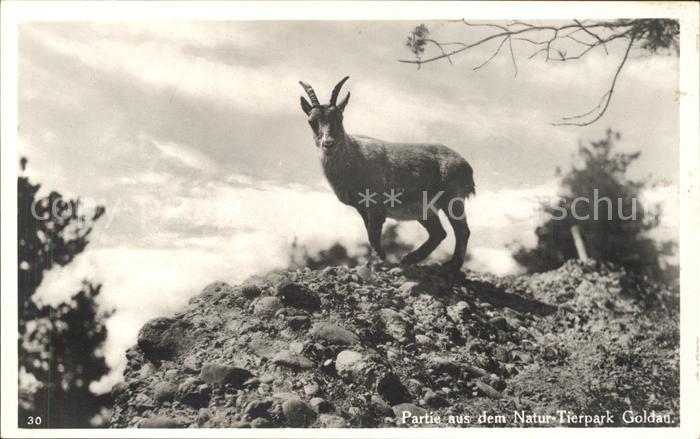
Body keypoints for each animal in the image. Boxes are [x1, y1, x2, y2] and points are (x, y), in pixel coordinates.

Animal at [299, 77, 475, 271]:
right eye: (311, 121)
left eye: (339, 118)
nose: (328, 144)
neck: (354, 157)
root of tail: (466, 165)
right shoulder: (363, 207)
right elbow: (370, 233)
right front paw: (380, 258)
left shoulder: (376, 205)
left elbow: (374, 233)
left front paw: (377, 261)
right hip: (423, 208)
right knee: (439, 233)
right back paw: (410, 258)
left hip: (451, 198)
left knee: (462, 230)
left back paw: (452, 265)